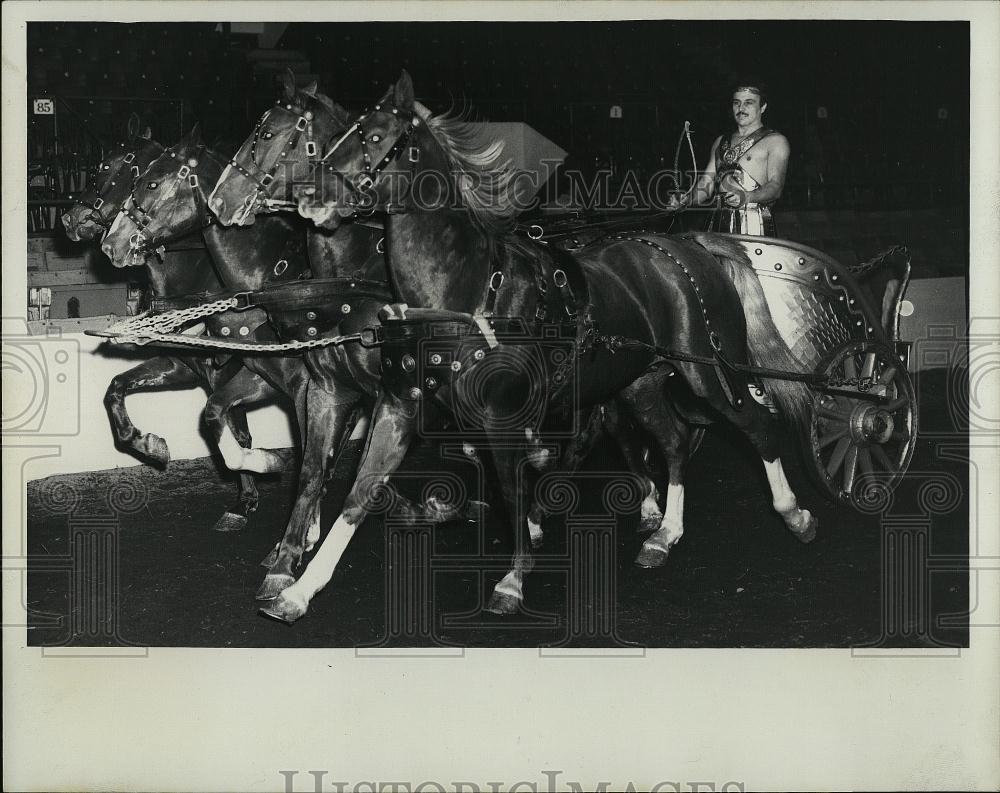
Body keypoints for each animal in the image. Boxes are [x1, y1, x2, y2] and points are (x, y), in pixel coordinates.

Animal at [262, 72, 816, 624]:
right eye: (338, 135)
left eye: (375, 137)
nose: (308, 194)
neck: (468, 293)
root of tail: (690, 247)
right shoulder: (398, 404)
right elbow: (358, 491)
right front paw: (299, 587)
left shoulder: (501, 415)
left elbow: (512, 491)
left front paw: (513, 577)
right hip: (639, 382)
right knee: (675, 441)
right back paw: (664, 534)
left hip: (708, 374)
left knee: (756, 425)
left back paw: (794, 513)